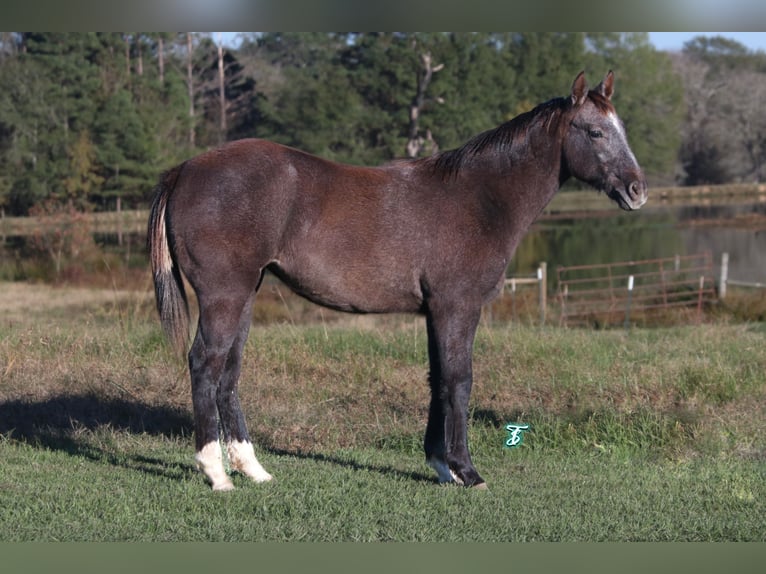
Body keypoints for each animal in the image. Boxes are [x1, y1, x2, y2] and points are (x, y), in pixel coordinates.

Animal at [148, 71, 648, 496]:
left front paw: (441, 466)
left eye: (622, 128)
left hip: (245, 295)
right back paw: (216, 473)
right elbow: (459, 380)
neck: (478, 198)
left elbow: (437, 378)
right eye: (595, 132)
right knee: (205, 364)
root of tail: (183, 170)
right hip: (224, 296)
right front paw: (467, 471)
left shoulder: (435, 311)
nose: (637, 190)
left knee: (229, 372)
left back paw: (252, 469)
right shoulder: (457, 306)